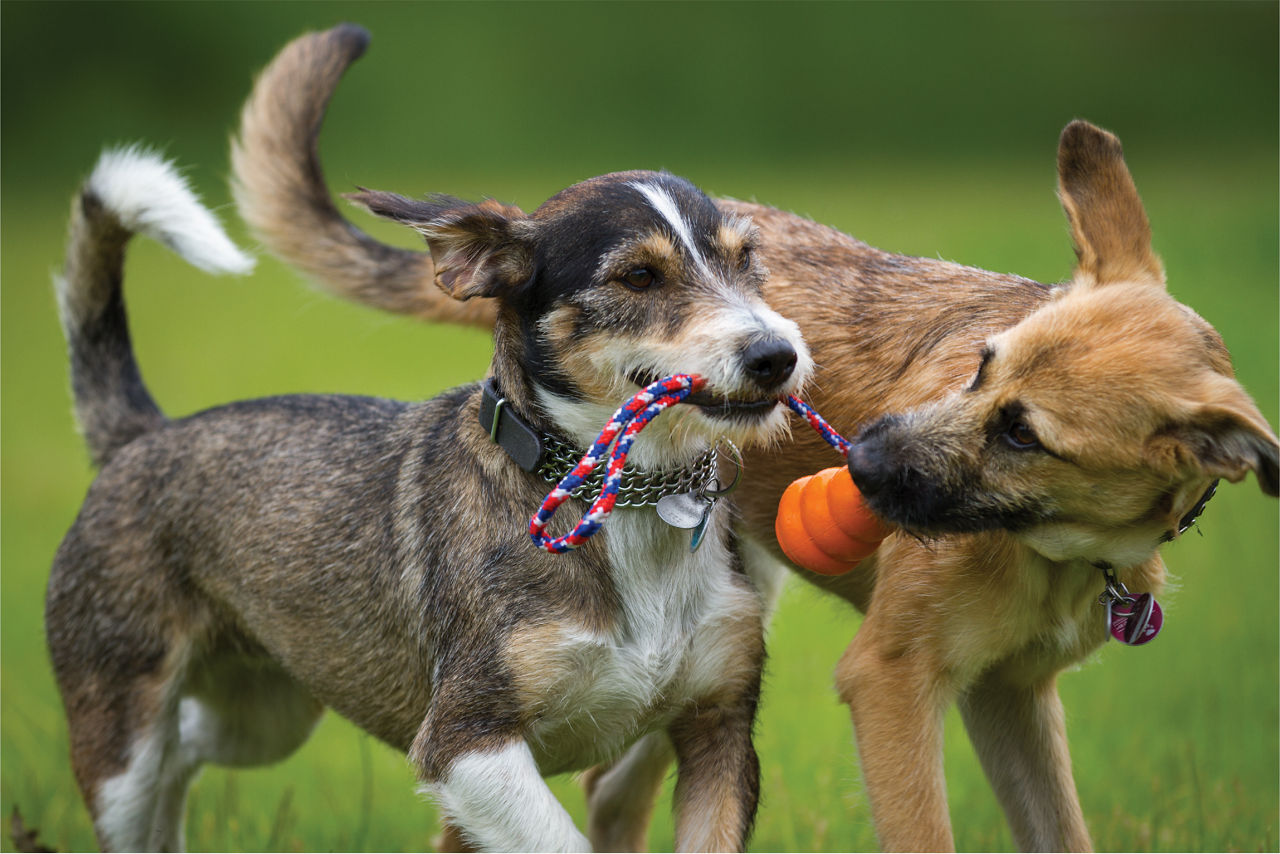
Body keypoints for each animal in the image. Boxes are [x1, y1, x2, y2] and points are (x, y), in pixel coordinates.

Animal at [52, 131, 808, 850]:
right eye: (639, 276)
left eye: (747, 261)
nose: (778, 356)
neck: (624, 501)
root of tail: (143, 435)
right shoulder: (461, 744)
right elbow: (560, 840)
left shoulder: (719, 731)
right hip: (123, 740)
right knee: (148, 775)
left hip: (266, 711)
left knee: (183, 751)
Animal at [232, 23, 1280, 850]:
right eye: (979, 367)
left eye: (1026, 435)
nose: (861, 457)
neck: (1060, 550)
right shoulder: (892, 682)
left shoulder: (1011, 698)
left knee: (610, 795)